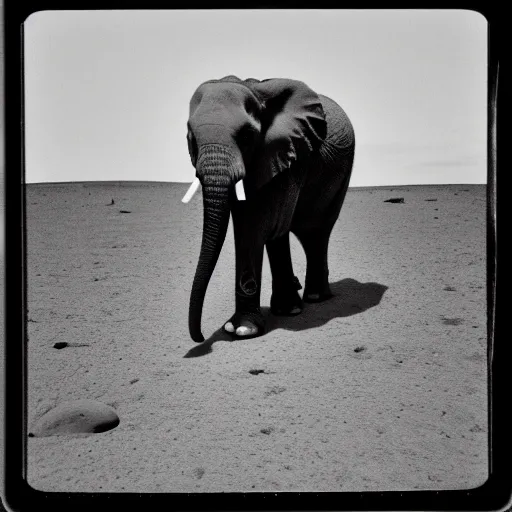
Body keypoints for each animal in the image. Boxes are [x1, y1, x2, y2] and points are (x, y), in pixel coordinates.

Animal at [182, 74, 354, 342]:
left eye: (246, 137)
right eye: (191, 138)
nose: (199, 337)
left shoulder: (290, 153)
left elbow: (254, 225)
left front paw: (243, 330)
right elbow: (252, 223)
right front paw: (237, 328)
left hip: (340, 175)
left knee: (315, 232)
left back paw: (314, 298)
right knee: (285, 234)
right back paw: (289, 307)